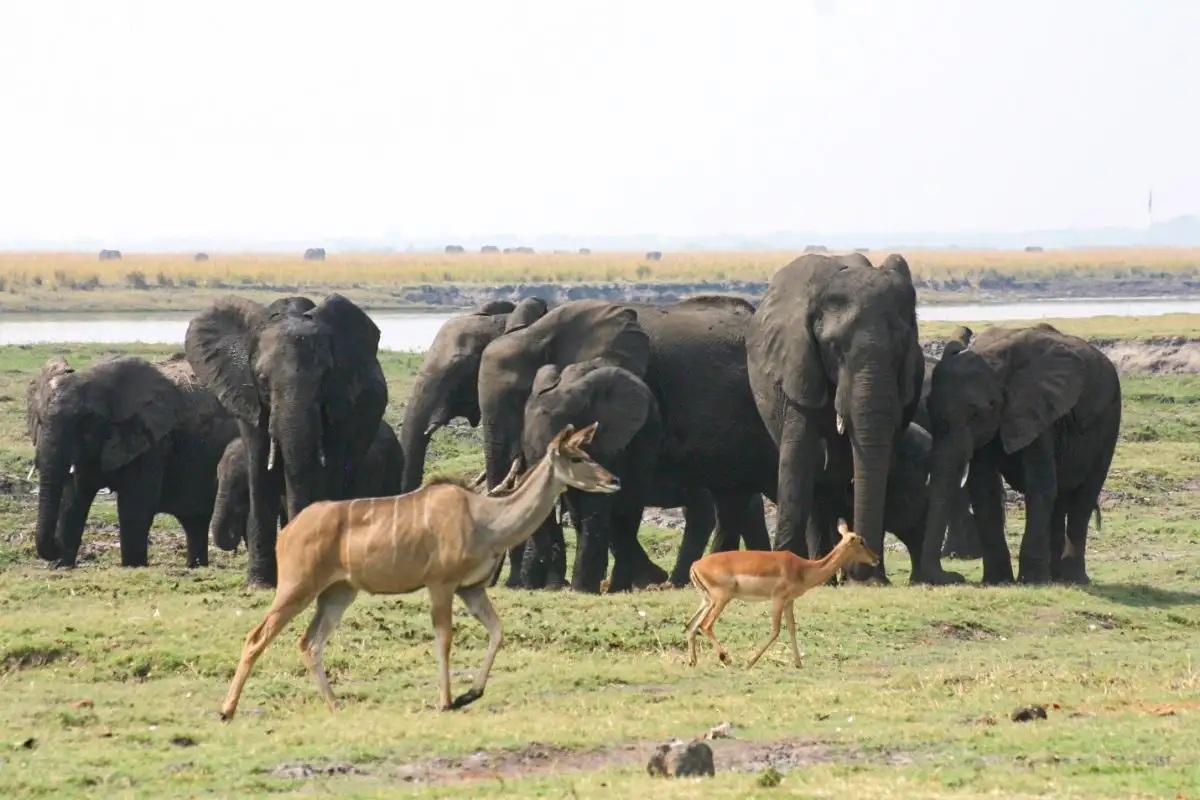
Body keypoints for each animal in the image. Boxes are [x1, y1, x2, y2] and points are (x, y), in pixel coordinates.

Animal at [26, 353, 239, 569]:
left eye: (88, 423)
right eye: (40, 421)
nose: (57, 547)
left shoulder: (153, 441)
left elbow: (135, 507)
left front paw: (132, 566)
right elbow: (72, 500)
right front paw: (61, 566)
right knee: (195, 521)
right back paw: (195, 566)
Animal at [745, 252, 925, 583]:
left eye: (902, 348)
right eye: (832, 347)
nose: (859, 567)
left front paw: (872, 579)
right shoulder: (799, 365)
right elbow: (799, 455)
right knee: (817, 484)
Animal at [919, 323, 1122, 586]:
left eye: (977, 415)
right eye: (929, 411)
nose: (955, 577)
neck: (995, 362)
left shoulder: (1038, 409)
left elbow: (1039, 484)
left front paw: (1031, 581)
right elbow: (984, 488)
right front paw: (997, 581)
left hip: (1111, 419)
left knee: (1084, 498)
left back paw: (1072, 579)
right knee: (1060, 499)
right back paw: (1056, 577)